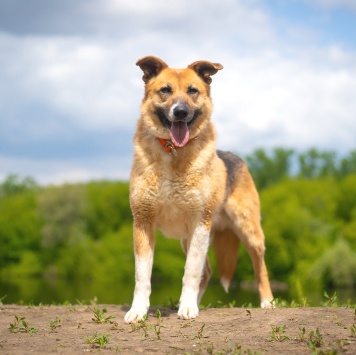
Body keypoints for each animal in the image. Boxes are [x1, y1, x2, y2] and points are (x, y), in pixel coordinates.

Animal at [124, 56, 274, 326]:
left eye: (192, 90)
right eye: (165, 90)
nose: (180, 112)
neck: (173, 151)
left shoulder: (199, 223)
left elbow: (190, 272)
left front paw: (187, 308)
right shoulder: (142, 222)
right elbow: (142, 275)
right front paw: (138, 311)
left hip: (248, 229)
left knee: (259, 267)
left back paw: (267, 301)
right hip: (188, 238)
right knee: (207, 272)